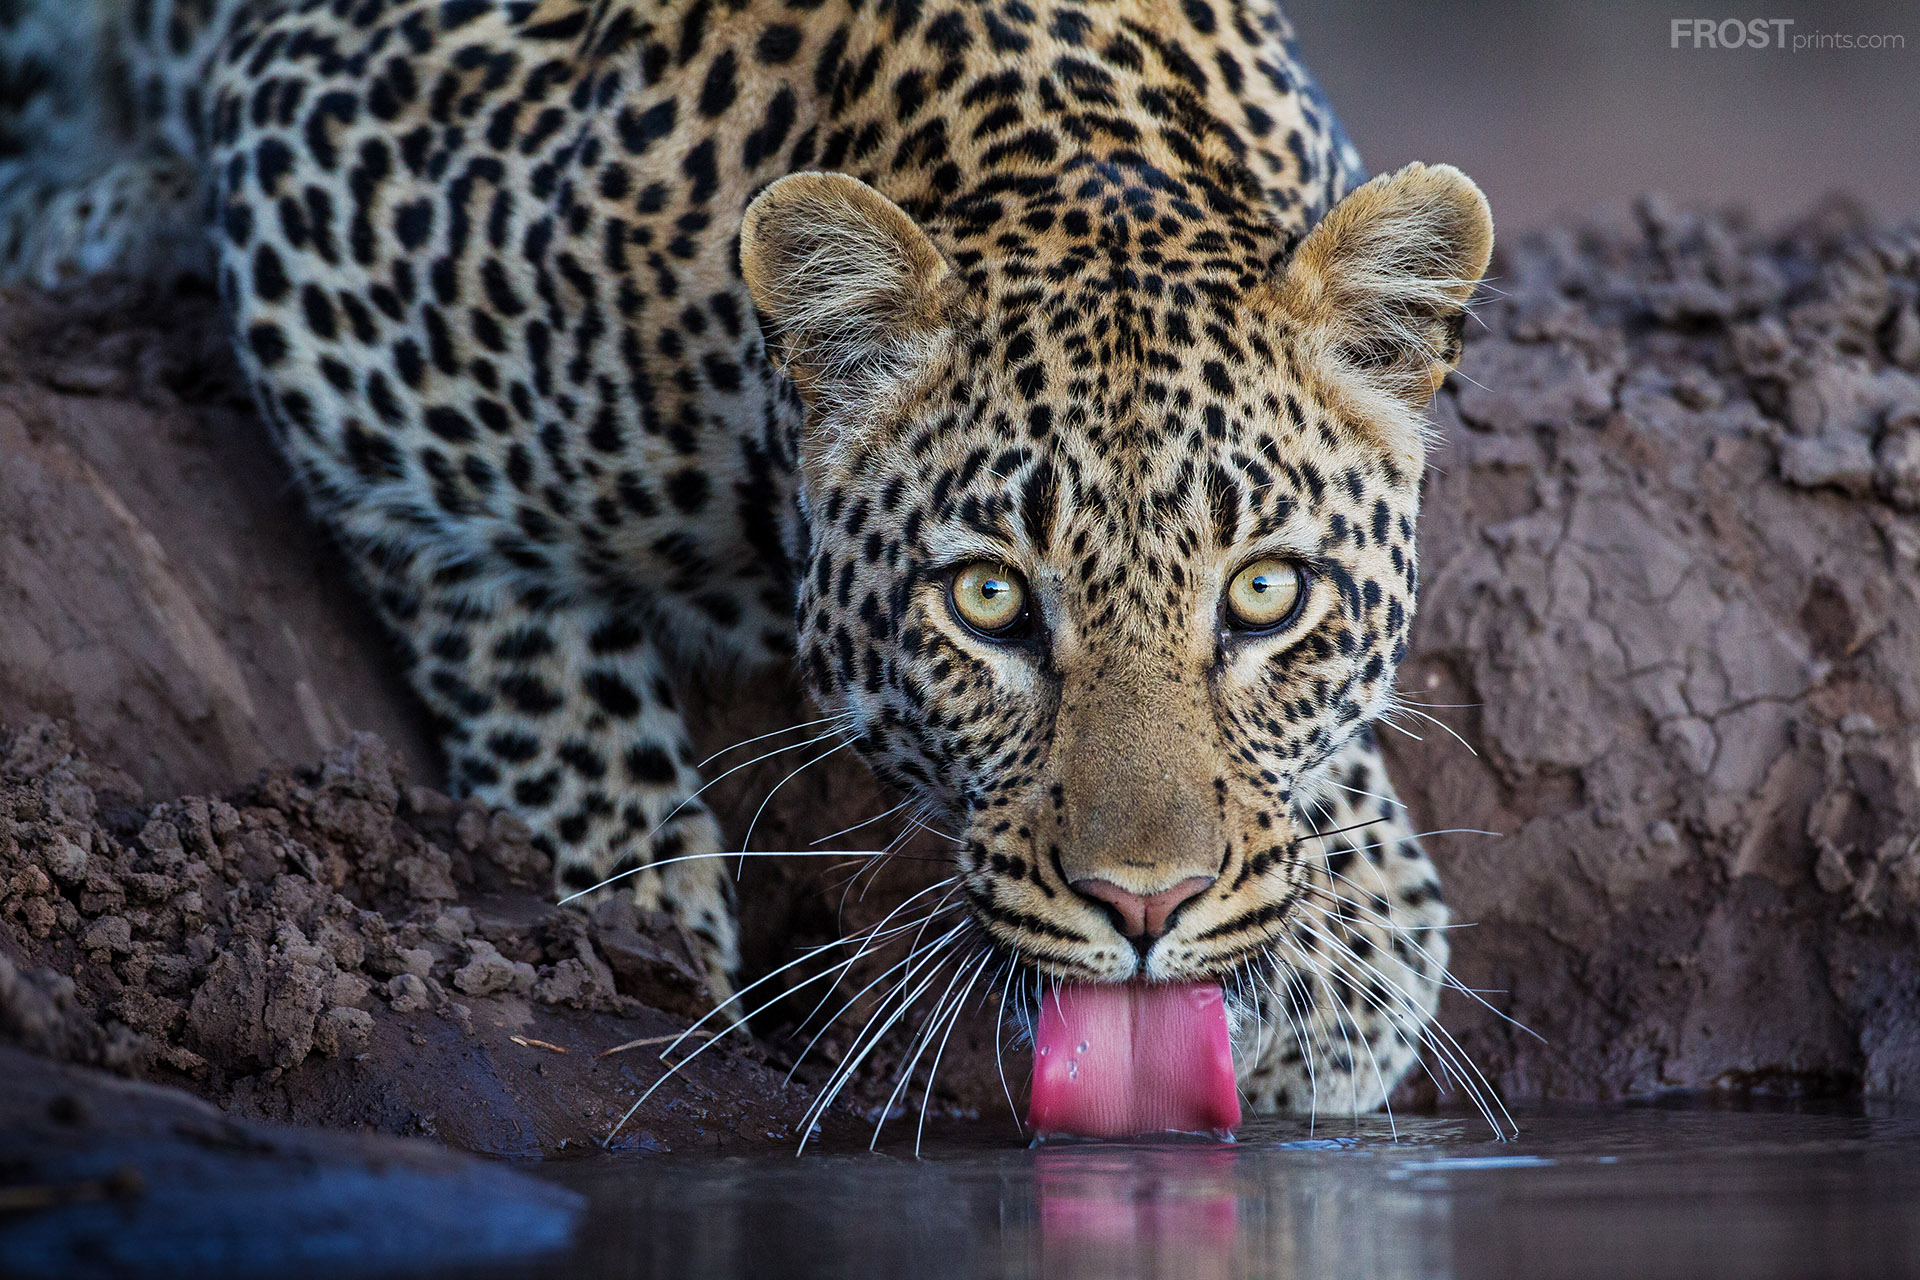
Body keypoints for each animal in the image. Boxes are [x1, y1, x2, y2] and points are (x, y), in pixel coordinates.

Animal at [0, 0, 1494, 1124]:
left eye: (1265, 594)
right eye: (991, 601)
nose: (1144, 904)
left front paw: (1345, 957)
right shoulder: (326, 265)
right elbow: (534, 667)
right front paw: (642, 930)